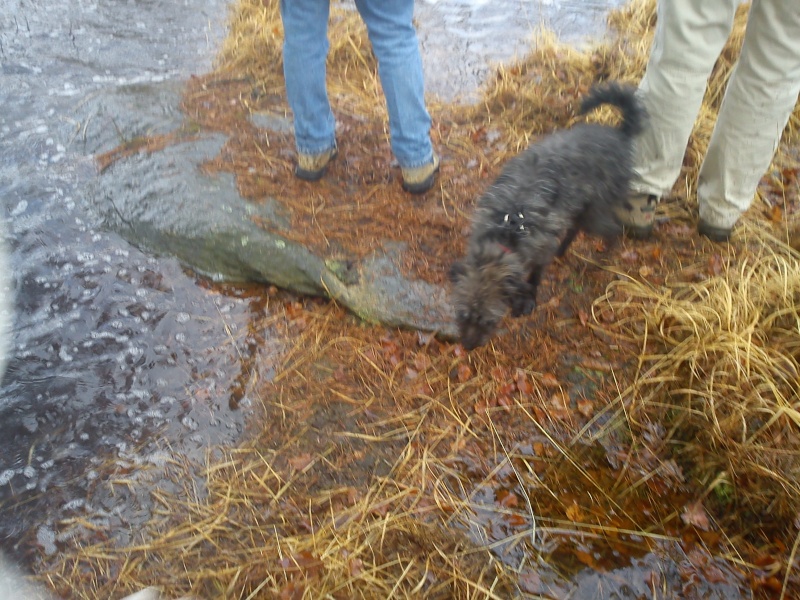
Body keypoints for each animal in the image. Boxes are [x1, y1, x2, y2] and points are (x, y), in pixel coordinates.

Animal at [450, 82, 644, 350]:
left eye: (488, 321)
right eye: (463, 315)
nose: (467, 346)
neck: (508, 229)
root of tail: (620, 134)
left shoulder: (539, 251)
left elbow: (534, 277)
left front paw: (529, 299)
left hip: (594, 214)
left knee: (613, 230)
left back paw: (604, 258)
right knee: (573, 228)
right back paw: (563, 250)